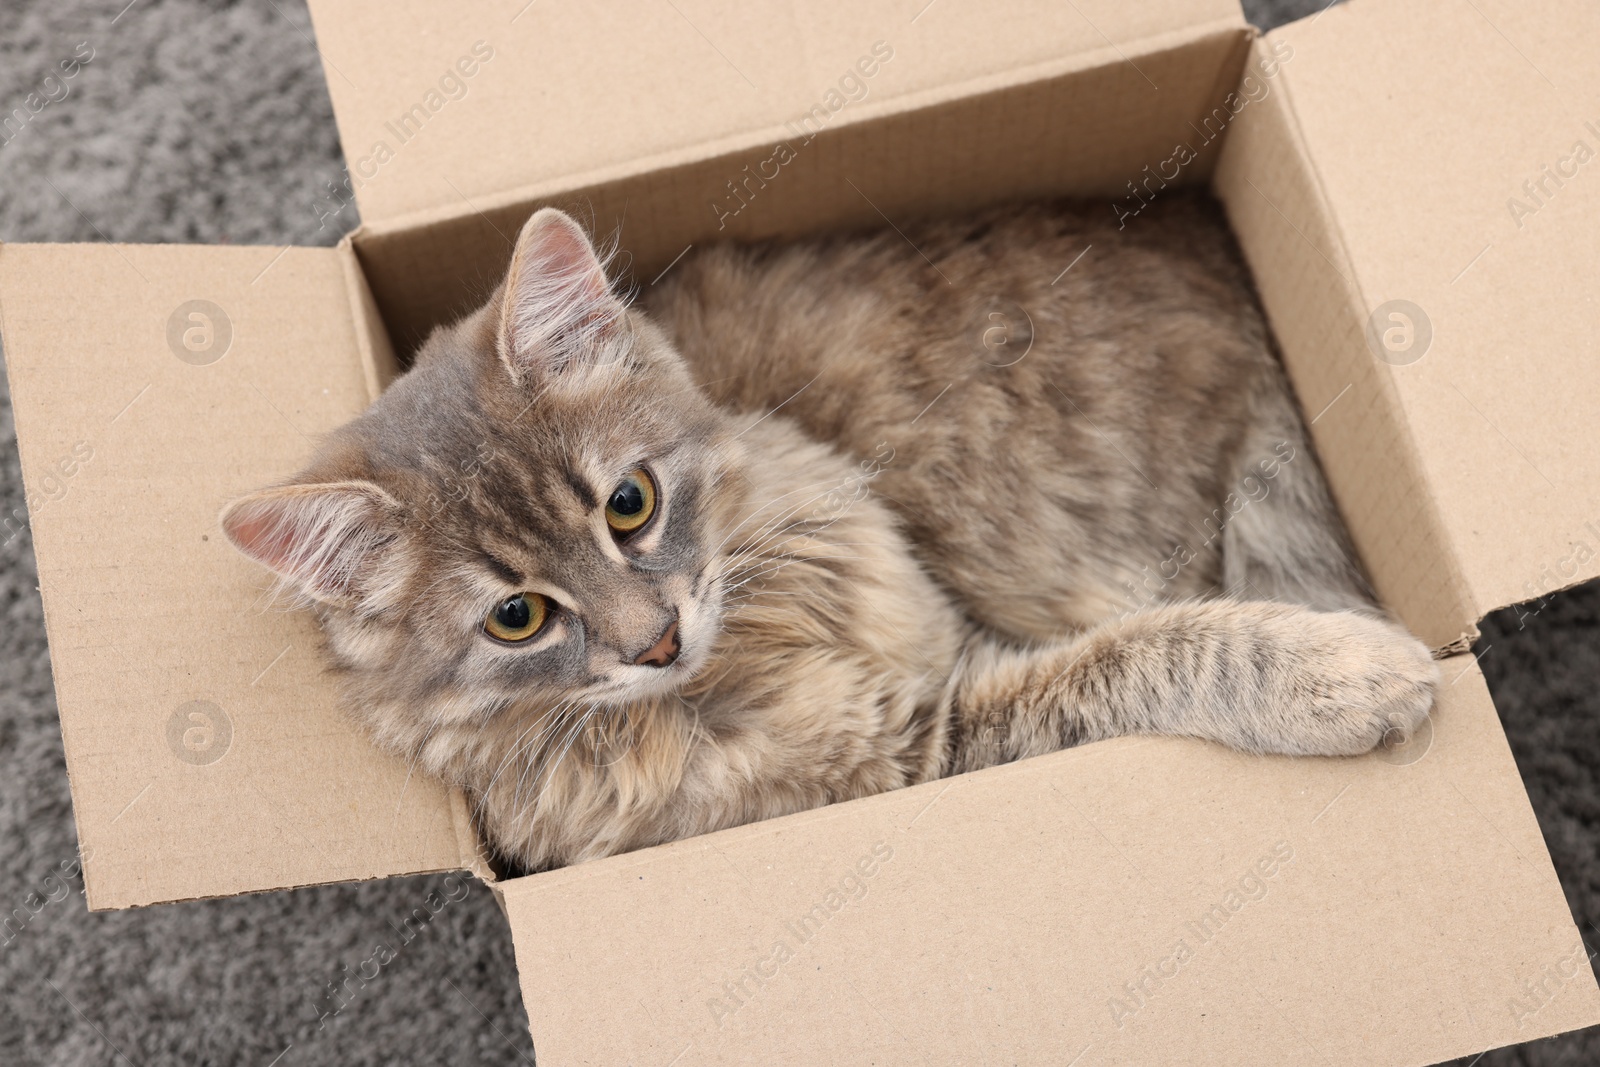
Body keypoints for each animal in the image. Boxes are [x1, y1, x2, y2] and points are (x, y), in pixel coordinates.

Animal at [222, 194, 1440, 876]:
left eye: (629, 505)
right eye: (516, 617)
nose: (656, 640)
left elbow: (1165, 642)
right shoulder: (933, 739)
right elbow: (1162, 649)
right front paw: (1350, 670)